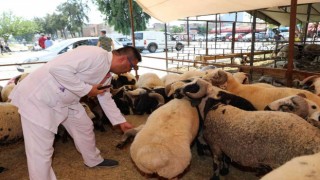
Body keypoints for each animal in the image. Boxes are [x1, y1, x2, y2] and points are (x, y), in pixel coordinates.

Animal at [176, 78, 320, 179]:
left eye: (193, 87)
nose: (177, 91)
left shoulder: (217, 143)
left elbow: (219, 161)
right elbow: (226, 158)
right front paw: (225, 170)